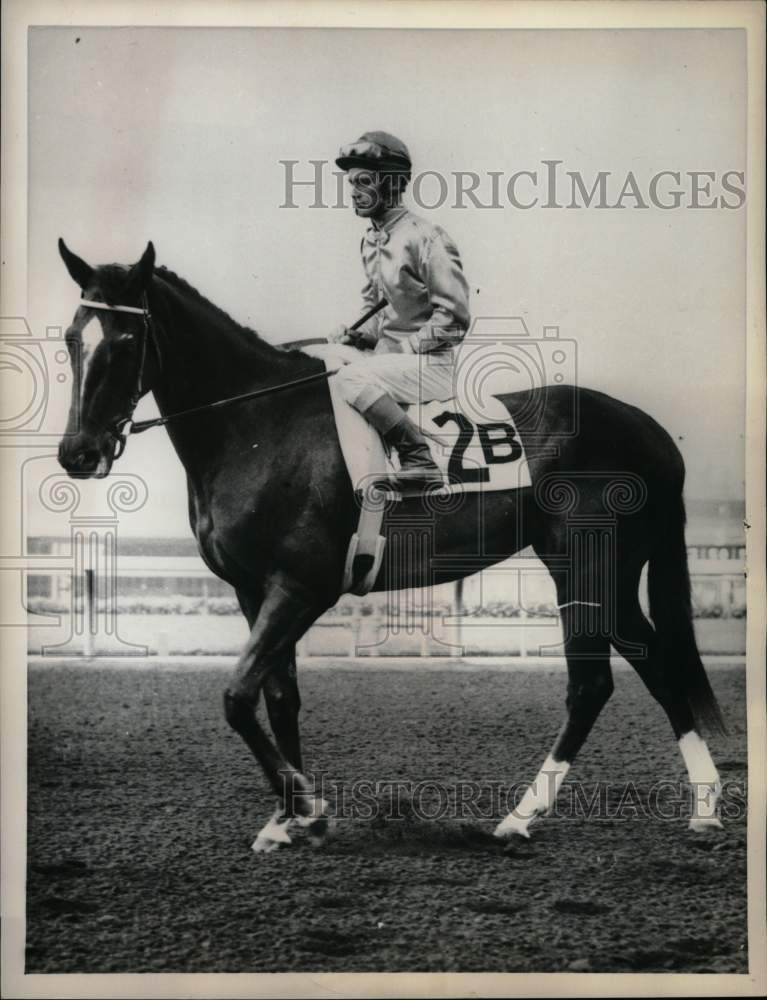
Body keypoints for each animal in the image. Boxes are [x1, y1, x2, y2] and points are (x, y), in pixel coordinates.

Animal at [54, 238, 728, 848]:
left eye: (125, 341)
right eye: (71, 338)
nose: (78, 453)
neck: (258, 426)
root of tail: (651, 431)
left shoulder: (302, 587)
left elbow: (237, 697)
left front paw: (311, 808)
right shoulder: (253, 590)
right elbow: (280, 697)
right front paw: (289, 820)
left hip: (585, 565)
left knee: (593, 684)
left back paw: (521, 818)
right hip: (604, 571)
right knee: (652, 661)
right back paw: (702, 806)